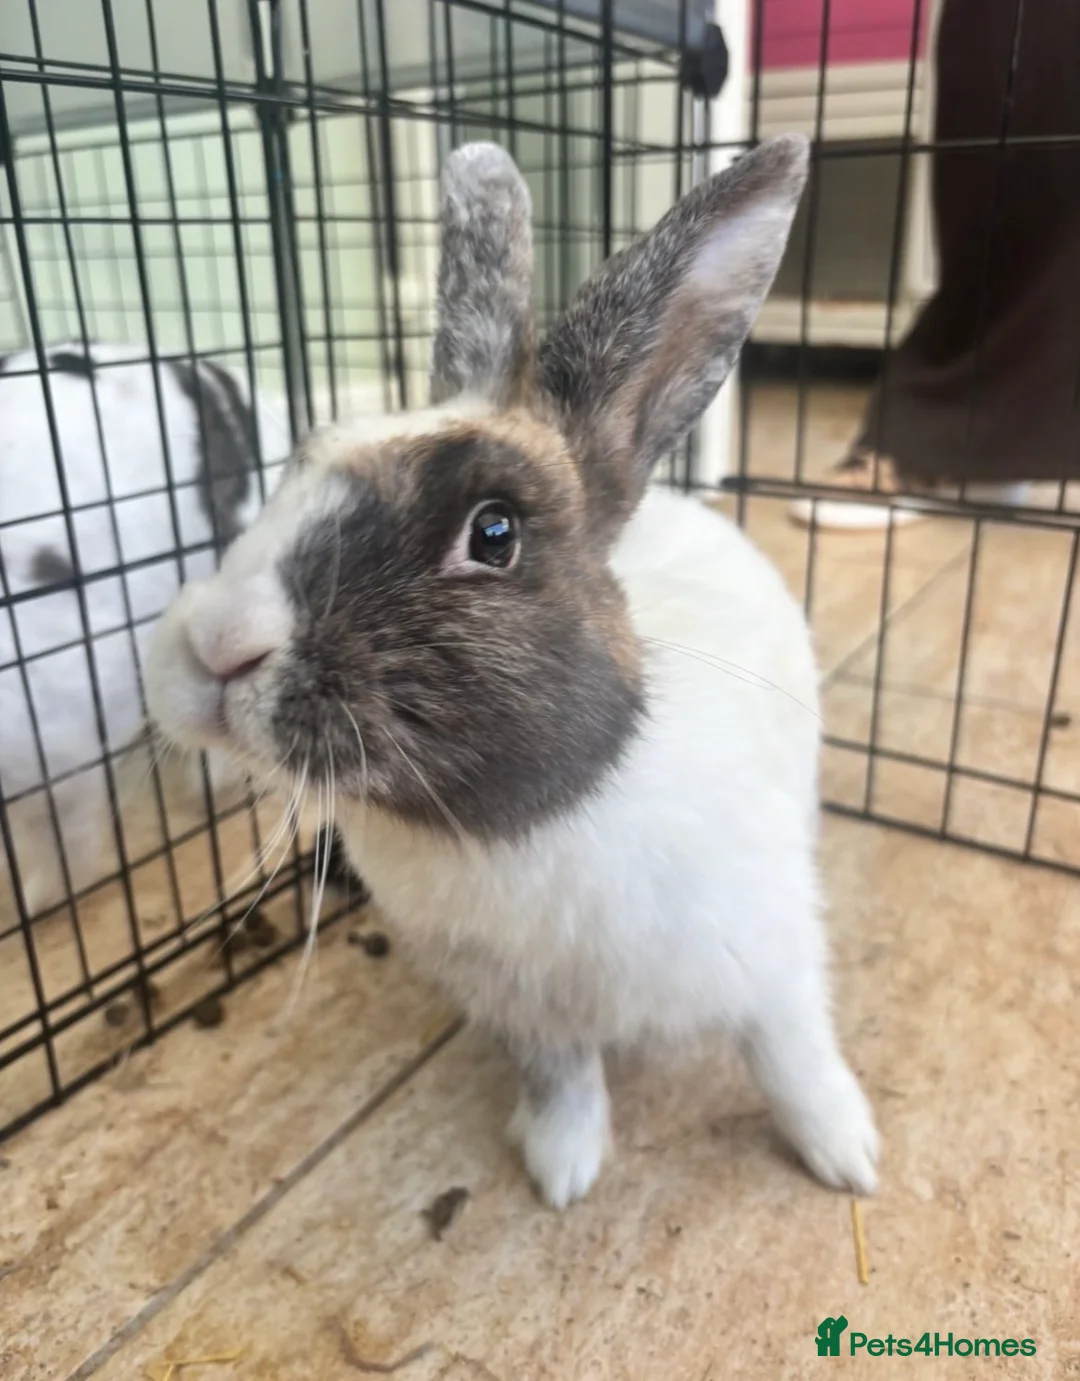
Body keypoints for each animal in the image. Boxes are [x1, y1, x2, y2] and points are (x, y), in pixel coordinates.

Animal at [145, 136, 879, 1208]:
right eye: (294, 467)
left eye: (493, 533)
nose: (211, 643)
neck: (500, 831)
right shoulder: (526, 1013)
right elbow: (564, 1077)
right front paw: (563, 1168)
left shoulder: (774, 959)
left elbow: (793, 1057)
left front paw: (846, 1157)